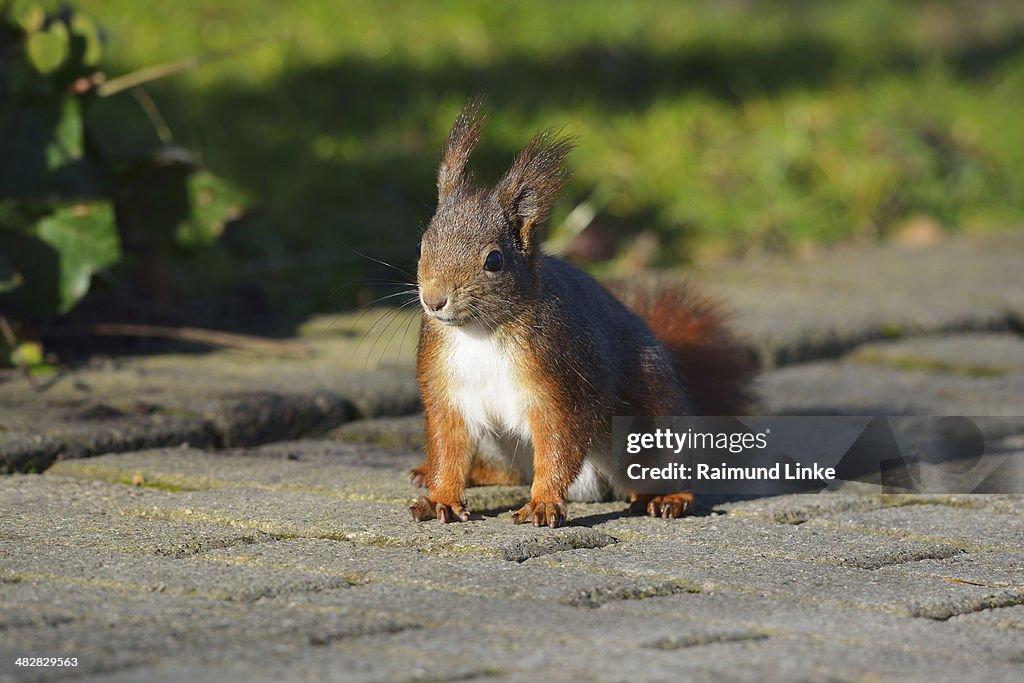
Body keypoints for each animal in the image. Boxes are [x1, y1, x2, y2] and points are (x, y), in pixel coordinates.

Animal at [407, 102, 753, 528]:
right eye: (420, 246)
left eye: (494, 261)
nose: (433, 300)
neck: (481, 332)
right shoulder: (447, 390)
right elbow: (448, 447)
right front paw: (440, 498)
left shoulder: (559, 382)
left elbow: (558, 443)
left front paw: (542, 503)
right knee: (502, 470)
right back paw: (438, 472)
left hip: (655, 418)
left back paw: (667, 497)